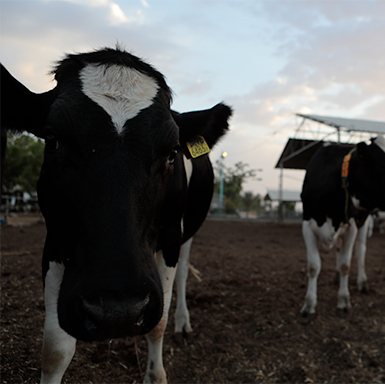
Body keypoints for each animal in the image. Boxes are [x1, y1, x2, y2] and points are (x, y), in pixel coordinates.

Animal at [0, 48, 231, 384]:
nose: (117, 310)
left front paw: (155, 374)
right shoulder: (55, 240)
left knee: (184, 275)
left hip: (186, 232)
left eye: (173, 152)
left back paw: (183, 322)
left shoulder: (171, 238)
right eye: (52, 140)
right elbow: (55, 350)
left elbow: (158, 324)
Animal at [300, 136, 384, 316]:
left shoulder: (351, 225)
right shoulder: (307, 224)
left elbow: (346, 264)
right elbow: (313, 266)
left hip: (364, 220)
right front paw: (309, 304)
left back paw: (362, 283)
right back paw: (337, 277)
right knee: (339, 249)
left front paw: (344, 301)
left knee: (361, 251)